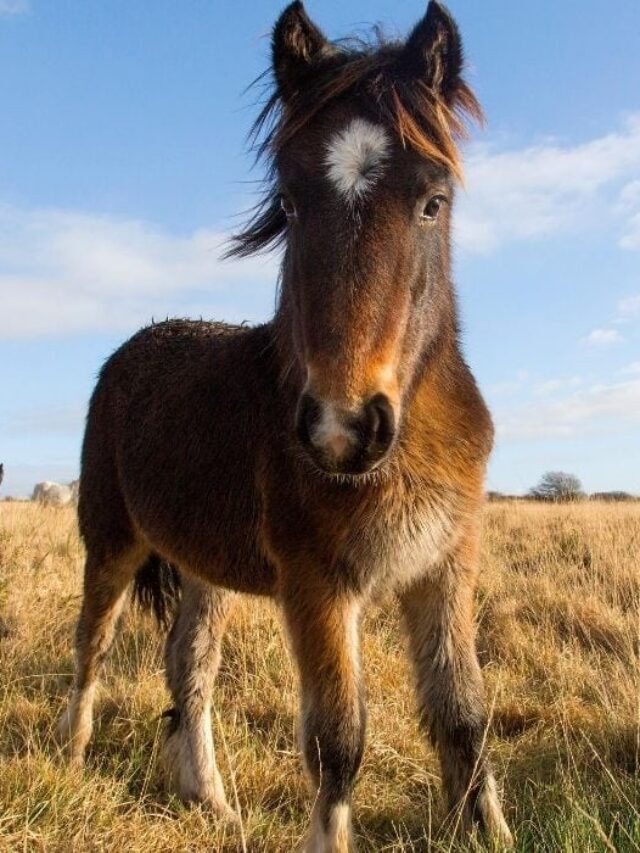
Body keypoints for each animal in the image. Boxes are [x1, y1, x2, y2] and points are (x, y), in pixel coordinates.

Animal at [57, 2, 513, 849]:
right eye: (292, 204)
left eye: (432, 200)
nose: (342, 428)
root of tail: (131, 348)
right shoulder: (318, 583)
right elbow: (339, 739)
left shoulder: (444, 567)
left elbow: (464, 717)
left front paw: (491, 830)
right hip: (111, 539)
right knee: (92, 642)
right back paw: (70, 754)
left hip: (203, 564)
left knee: (189, 663)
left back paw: (208, 797)